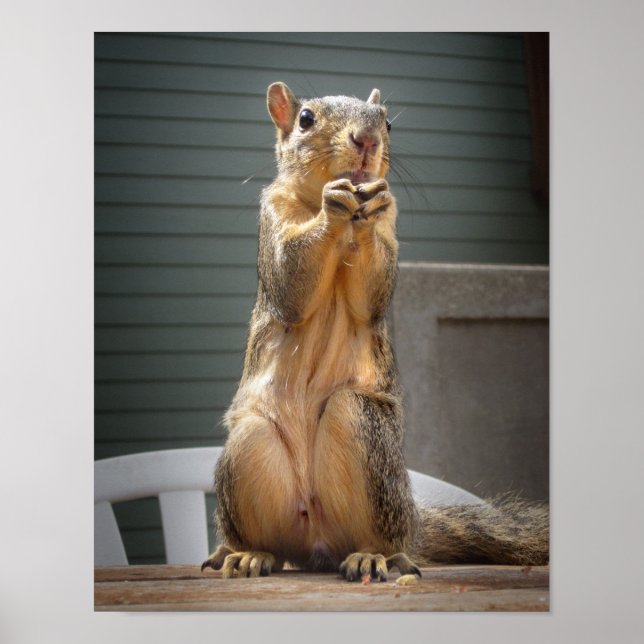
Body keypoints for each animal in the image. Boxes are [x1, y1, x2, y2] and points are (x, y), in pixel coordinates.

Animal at [201, 82, 549, 581]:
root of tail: (315, 543)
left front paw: (369, 201)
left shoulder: (386, 227)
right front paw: (333, 204)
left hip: (362, 429)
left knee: (379, 535)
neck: (345, 225)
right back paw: (248, 553)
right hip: (250, 446)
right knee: (273, 541)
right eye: (305, 119)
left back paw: (373, 556)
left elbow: (371, 295)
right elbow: (289, 280)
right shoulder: (273, 219)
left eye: (387, 122)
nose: (366, 140)